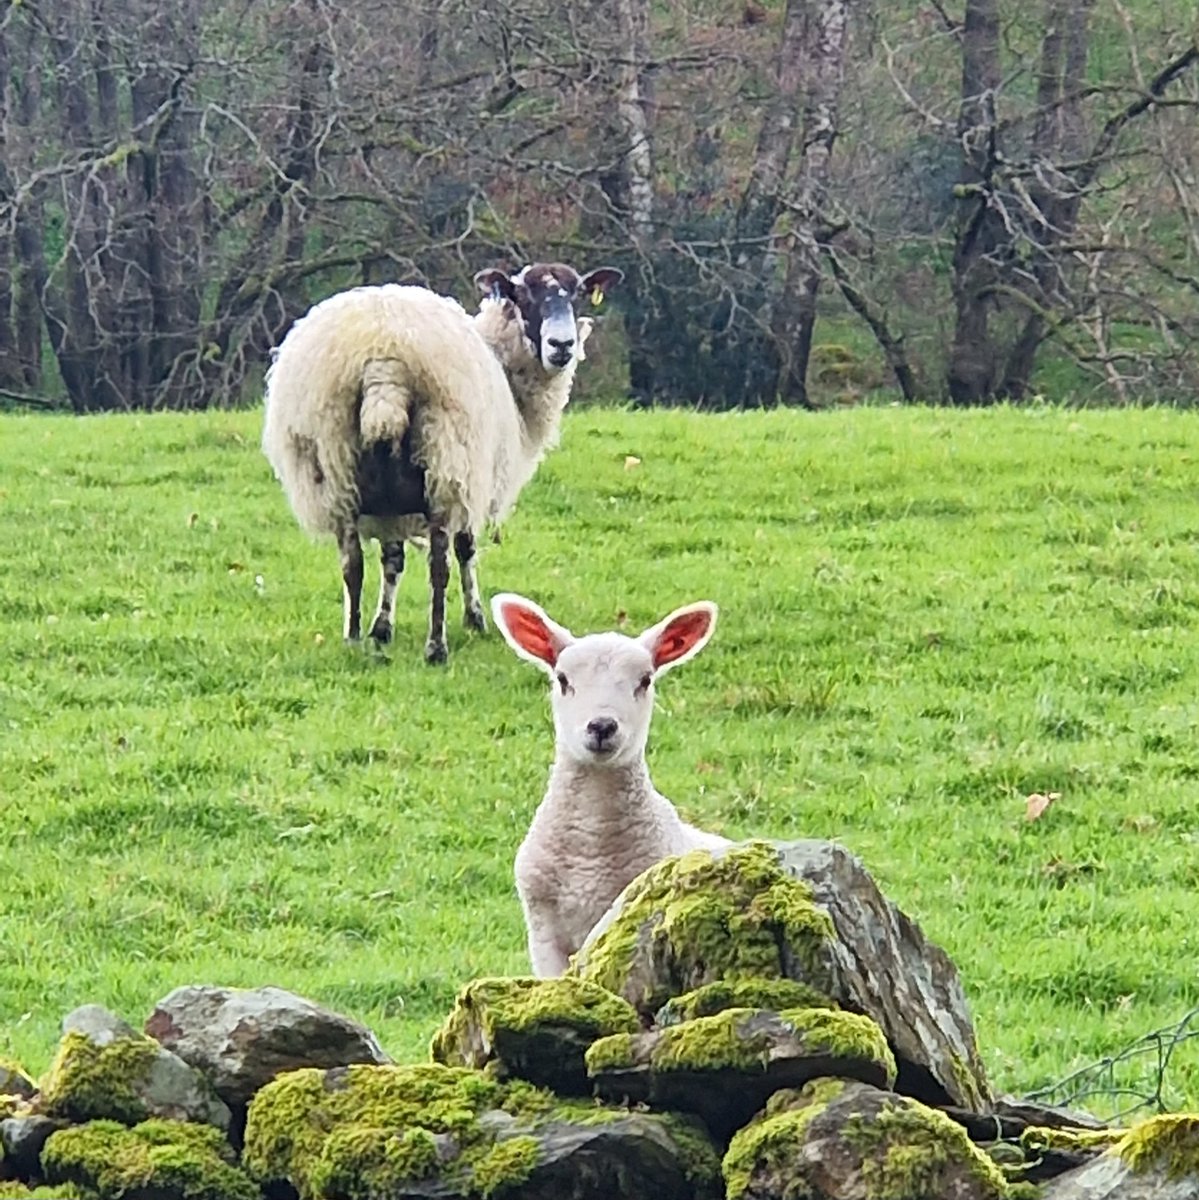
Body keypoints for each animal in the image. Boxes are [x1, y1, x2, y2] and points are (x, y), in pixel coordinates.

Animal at [262, 262, 622, 663]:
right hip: (444, 460)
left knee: (351, 563)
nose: (562, 345)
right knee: (439, 565)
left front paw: (381, 629)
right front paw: (475, 619)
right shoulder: (472, 477)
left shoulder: (391, 503)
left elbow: (392, 559)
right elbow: (466, 549)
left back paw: (353, 641)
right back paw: (436, 647)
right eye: (525, 296)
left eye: (577, 295)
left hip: (336, 469)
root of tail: (383, 359)